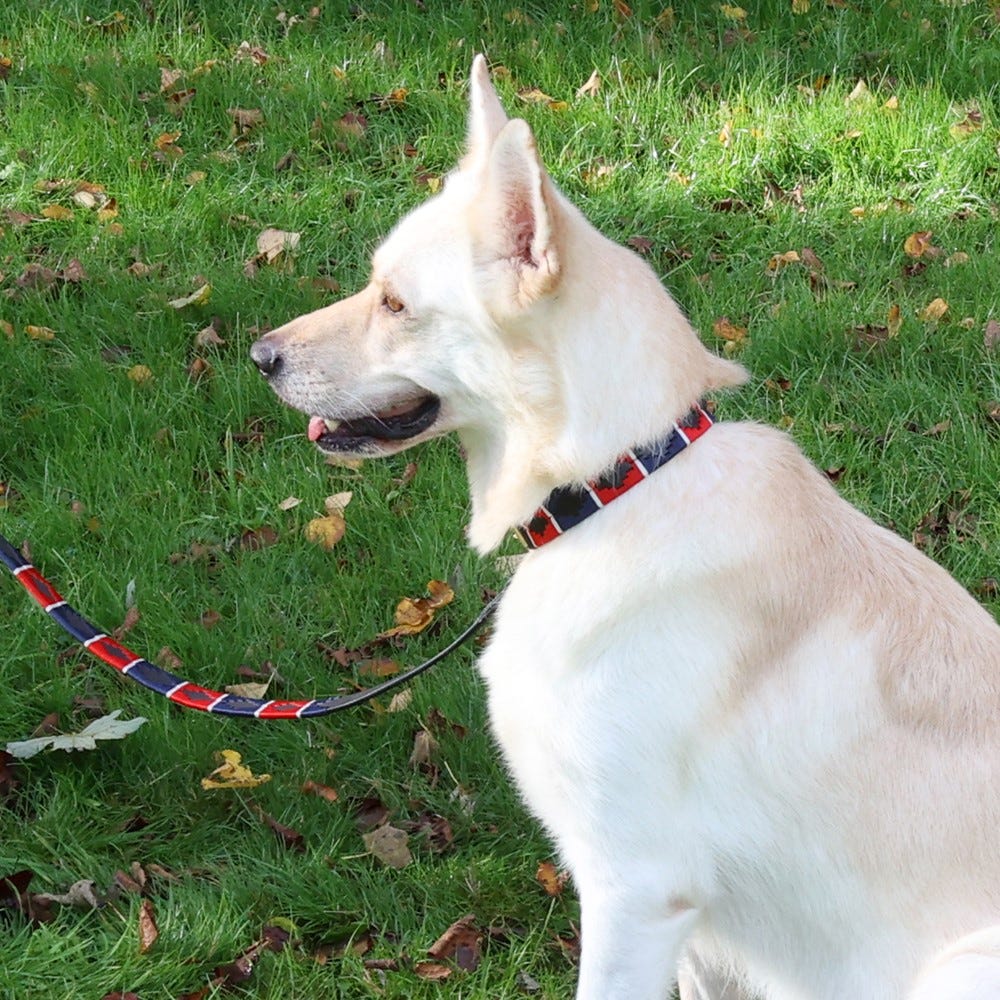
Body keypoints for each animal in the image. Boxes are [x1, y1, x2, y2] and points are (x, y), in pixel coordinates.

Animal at [252, 56, 1000, 1000]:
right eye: (374, 286)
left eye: (394, 303)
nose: (260, 356)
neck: (613, 490)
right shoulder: (693, 932)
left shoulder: (635, 890)